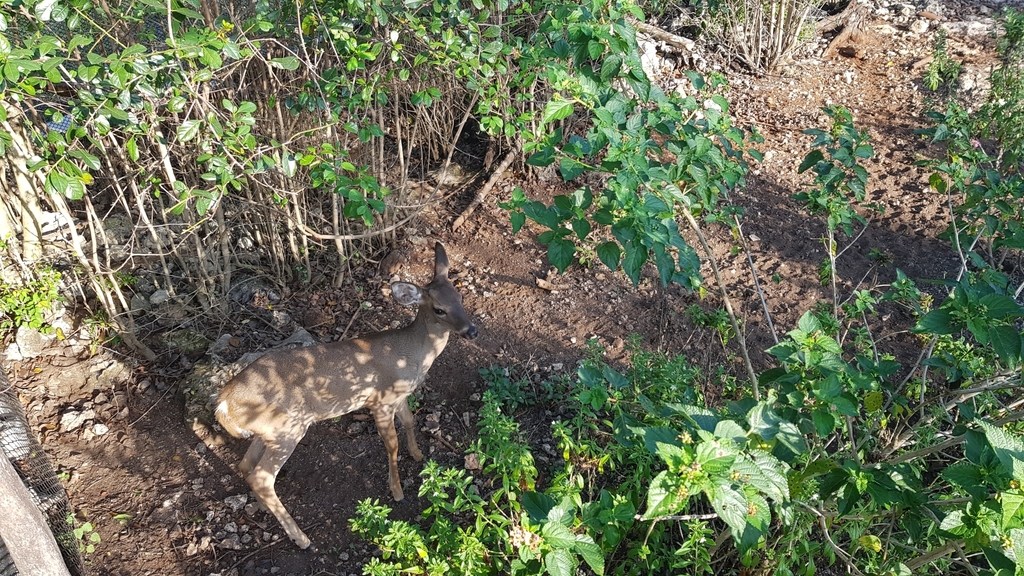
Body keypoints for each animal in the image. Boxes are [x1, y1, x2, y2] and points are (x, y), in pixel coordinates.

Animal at [214, 242, 478, 550]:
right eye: (439, 309)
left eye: (460, 296)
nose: (472, 331)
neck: (413, 355)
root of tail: (223, 404)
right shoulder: (380, 400)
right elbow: (392, 445)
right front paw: (397, 492)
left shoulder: (399, 396)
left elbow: (410, 421)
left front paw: (417, 454)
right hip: (287, 428)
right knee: (262, 476)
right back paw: (302, 538)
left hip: (267, 432)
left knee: (245, 466)